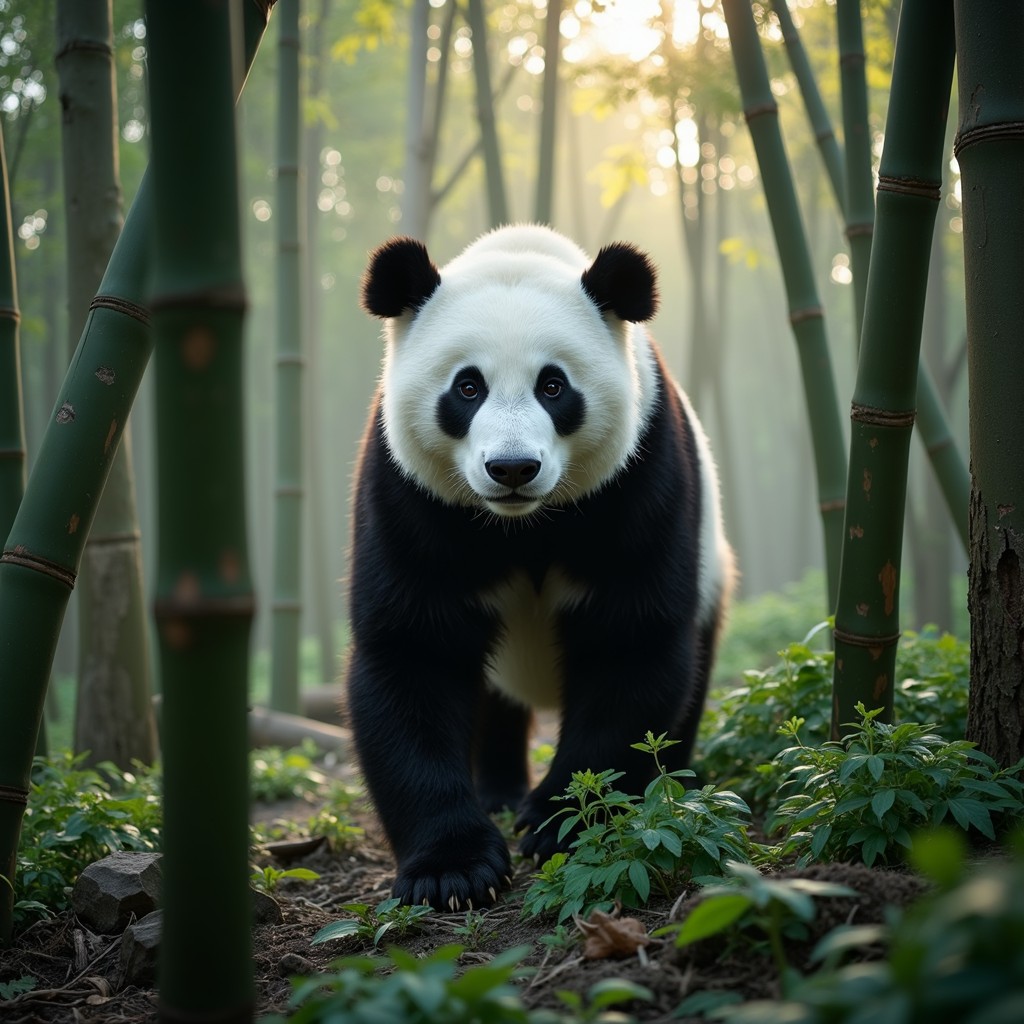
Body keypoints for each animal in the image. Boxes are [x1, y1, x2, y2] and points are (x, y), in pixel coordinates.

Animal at [348, 224, 734, 911]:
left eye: (553, 386)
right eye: (467, 387)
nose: (512, 468)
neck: (522, 524)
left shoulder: (640, 476)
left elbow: (629, 643)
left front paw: (562, 821)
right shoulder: (408, 493)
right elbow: (413, 651)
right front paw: (454, 871)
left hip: (712, 563)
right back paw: (499, 789)